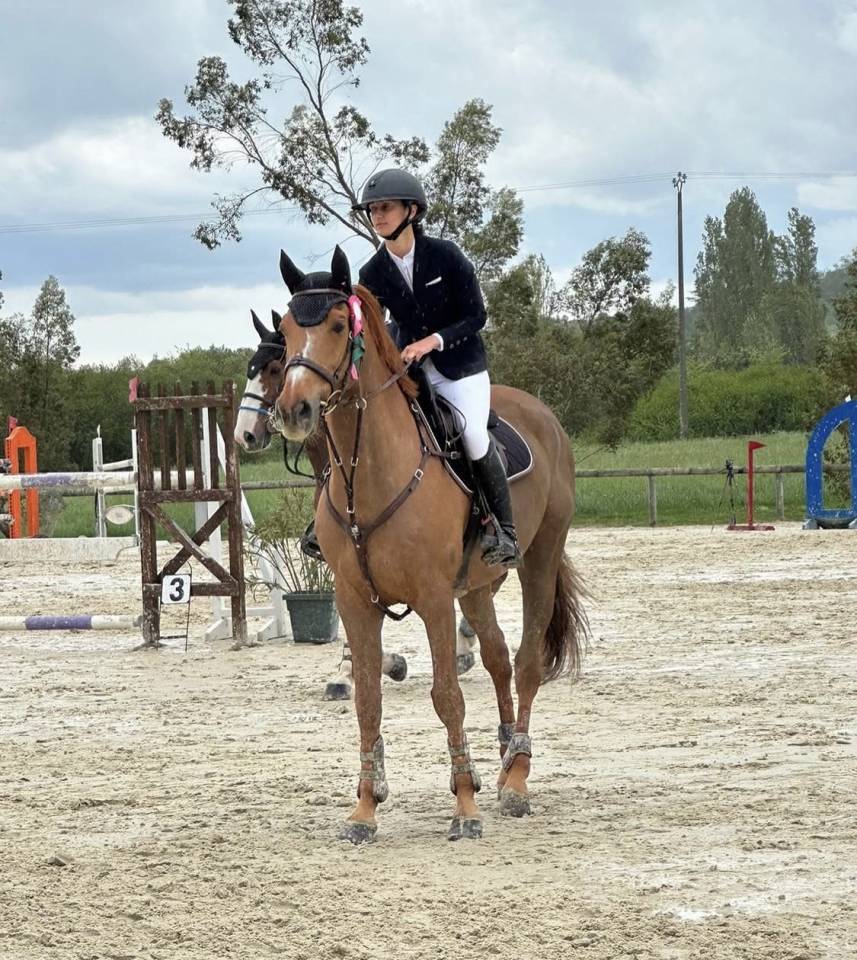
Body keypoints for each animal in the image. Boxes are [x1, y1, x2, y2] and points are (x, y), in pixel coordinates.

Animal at [234, 309, 477, 699]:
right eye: (251, 368)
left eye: (273, 368)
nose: (245, 435)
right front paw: (365, 666)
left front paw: (358, 669)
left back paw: (466, 643)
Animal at [272, 246, 587, 843]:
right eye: (284, 329)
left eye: (336, 324)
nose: (294, 410)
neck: (370, 472)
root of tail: (542, 414)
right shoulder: (355, 601)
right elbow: (367, 699)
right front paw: (365, 809)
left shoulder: (435, 599)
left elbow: (447, 696)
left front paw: (464, 806)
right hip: (480, 586)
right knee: (497, 658)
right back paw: (503, 759)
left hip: (538, 559)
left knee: (527, 662)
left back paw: (516, 780)